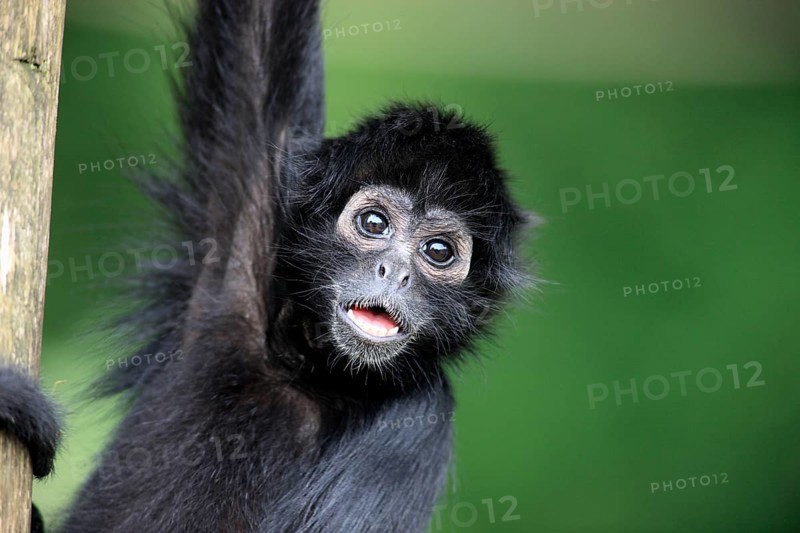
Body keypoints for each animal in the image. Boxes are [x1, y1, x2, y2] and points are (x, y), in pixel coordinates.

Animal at [0, 0, 531, 531]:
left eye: (437, 252)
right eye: (375, 222)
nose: (394, 273)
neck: (315, 375)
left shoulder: (419, 420)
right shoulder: (240, 259)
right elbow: (259, 32)